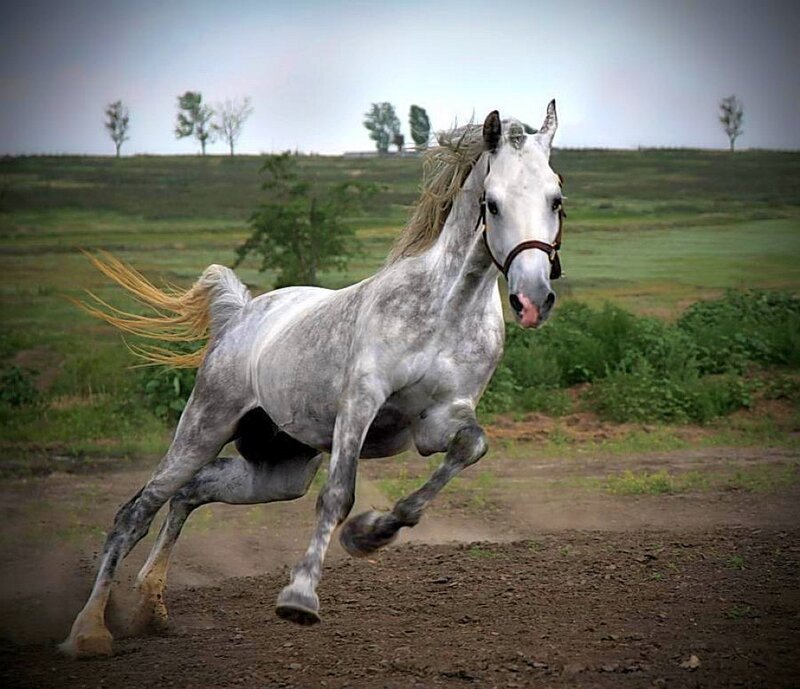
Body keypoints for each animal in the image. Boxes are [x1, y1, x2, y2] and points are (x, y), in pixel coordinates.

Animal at [60, 102, 565, 658]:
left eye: (556, 198)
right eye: (492, 204)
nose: (533, 298)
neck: (446, 308)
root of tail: (242, 313)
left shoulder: (439, 419)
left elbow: (469, 447)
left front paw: (373, 533)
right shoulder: (361, 403)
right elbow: (338, 495)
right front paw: (300, 598)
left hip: (280, 470)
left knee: (193, 491)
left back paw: (151, 607)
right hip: (202, 429)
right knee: (136, 512)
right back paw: (89, 631)